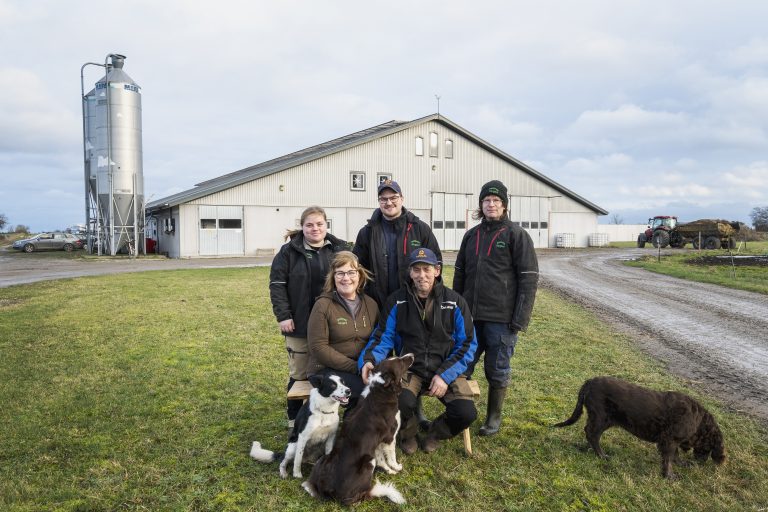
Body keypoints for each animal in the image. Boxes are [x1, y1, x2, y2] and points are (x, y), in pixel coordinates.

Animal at [556, 376, 724, 480]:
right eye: (709, 448)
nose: (701, 462)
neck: (699, 420)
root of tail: (590, 381)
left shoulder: (672, 440)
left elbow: (675, 456)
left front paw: (681, 464)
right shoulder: (669, 440)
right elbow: (668, 459)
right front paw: (669, 476)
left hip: (605, 420)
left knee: (589, 432)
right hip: (601, 418)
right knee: (592, 434)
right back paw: (602, 455)